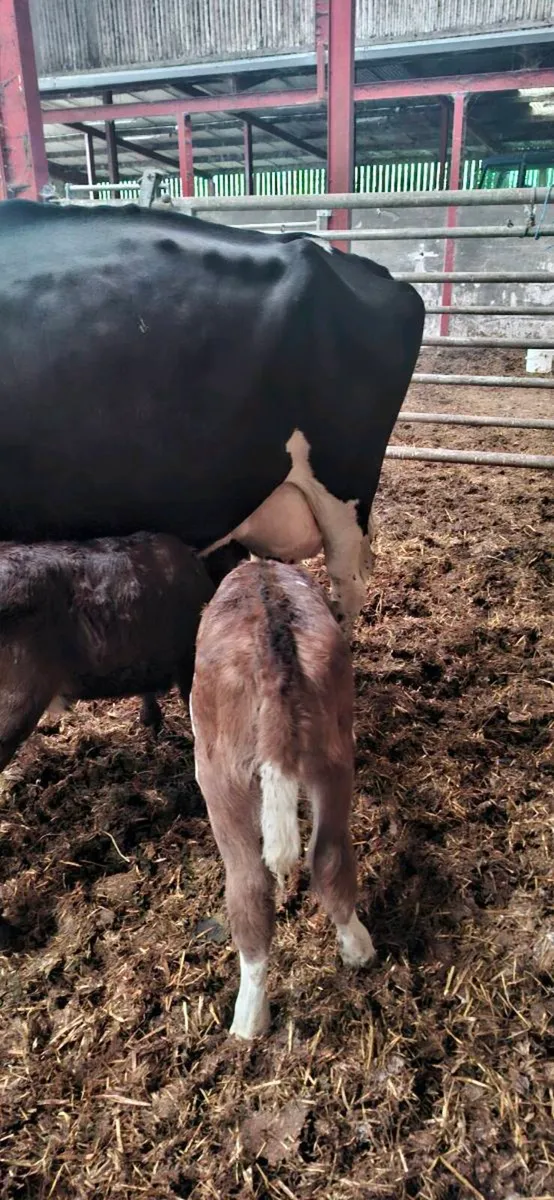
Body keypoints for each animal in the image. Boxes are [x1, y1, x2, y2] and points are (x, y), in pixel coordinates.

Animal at [191, 559, 375, 1039]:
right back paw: (355, 951)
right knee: (327, 857)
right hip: (333, 759)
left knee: (249, 886)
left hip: (221, 778)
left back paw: (247, 1021)